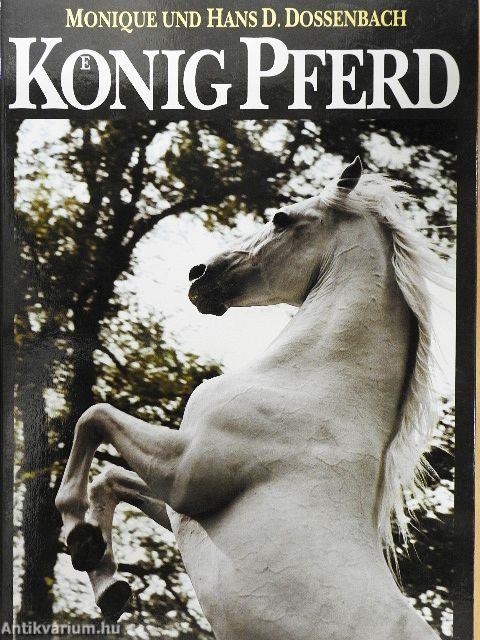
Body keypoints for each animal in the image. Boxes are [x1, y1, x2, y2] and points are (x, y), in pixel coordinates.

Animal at [55, 157, 445, 639]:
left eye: (281, 218)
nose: (198, 274)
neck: (310, 388)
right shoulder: (179, 507)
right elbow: (109, 478)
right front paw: (105, 577)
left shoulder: (185, 474)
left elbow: (93, 417)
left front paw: (78, 533)